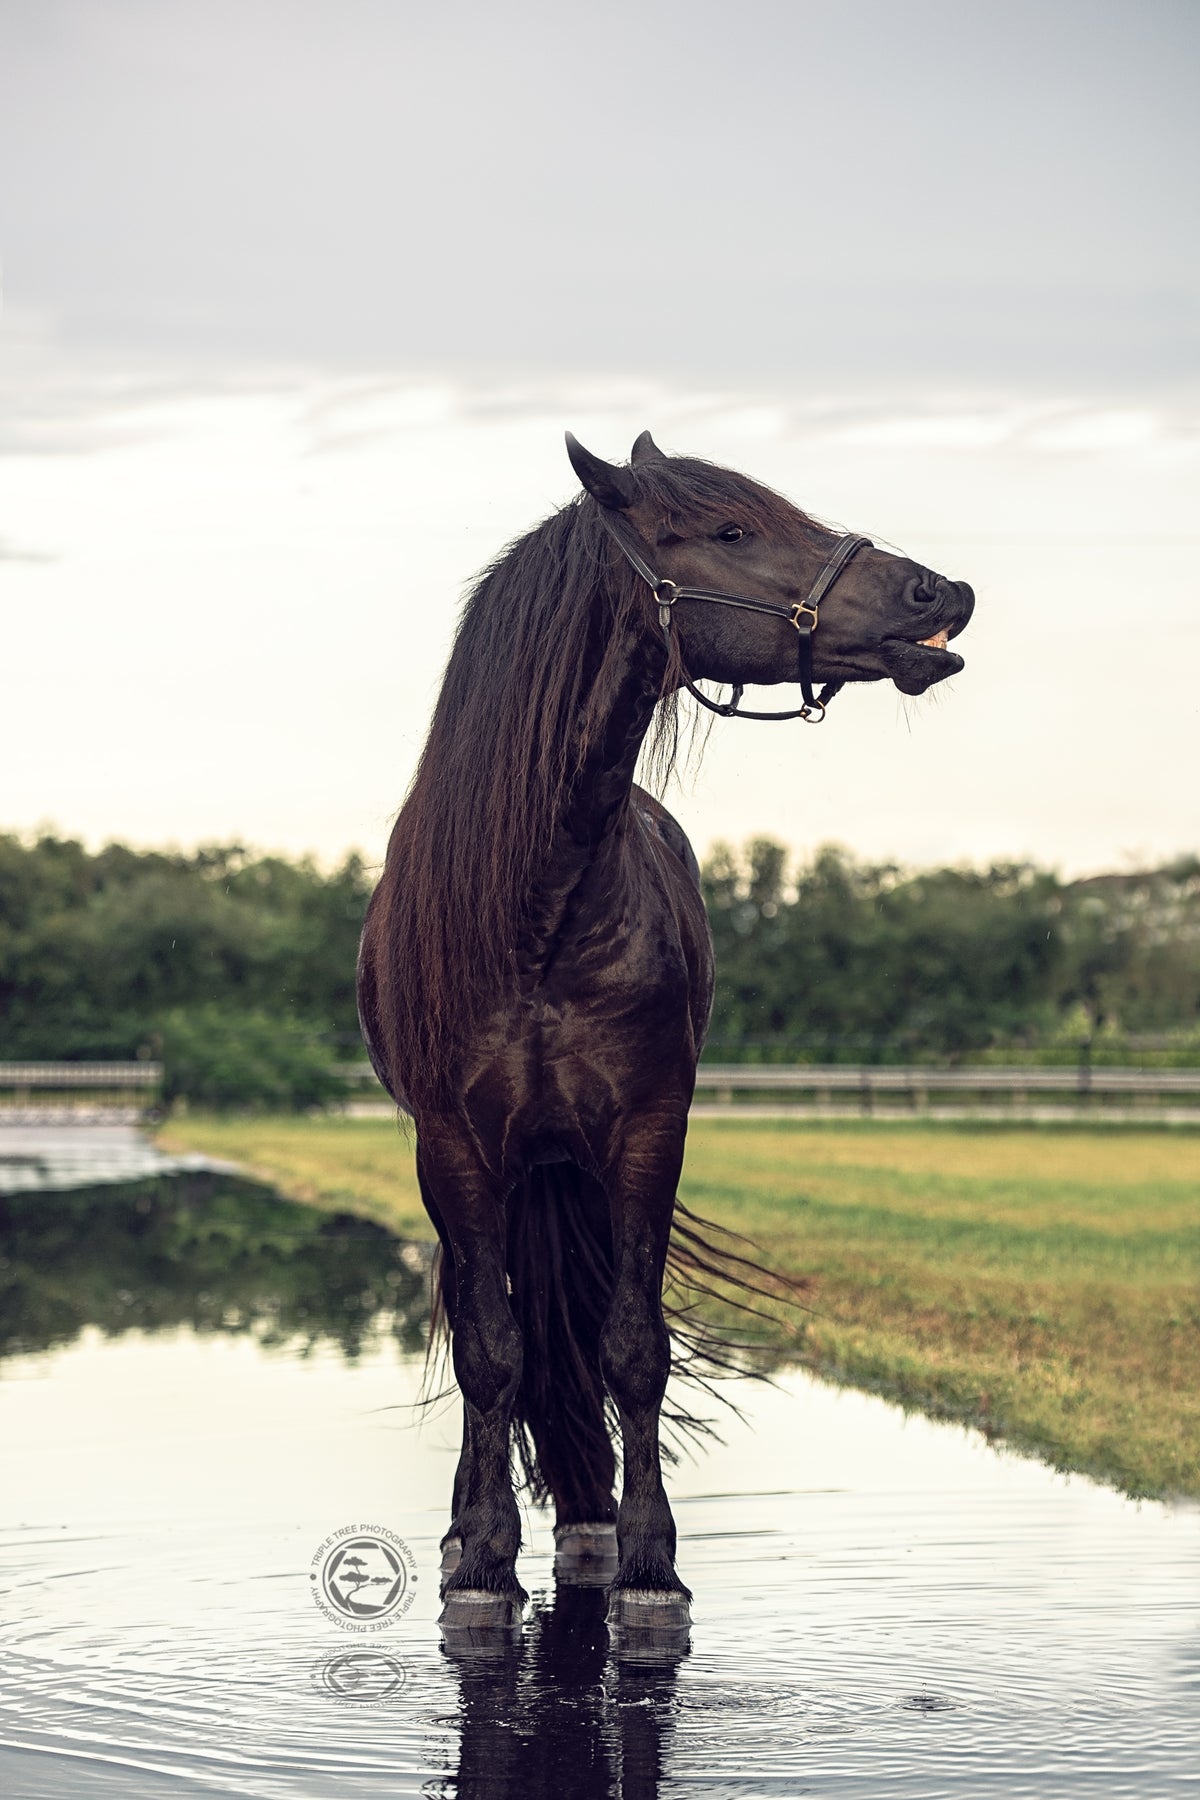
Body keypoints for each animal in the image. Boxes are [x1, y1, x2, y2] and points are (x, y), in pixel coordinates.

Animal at [356, 431, 974, 1640]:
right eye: (730, 529)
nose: (941, 594)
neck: (540, 902)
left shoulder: (648, 1127)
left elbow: (633, 1347)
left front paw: (648, 1565)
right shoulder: (453, 1145)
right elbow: (491, 1349)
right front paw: (481, 1562)